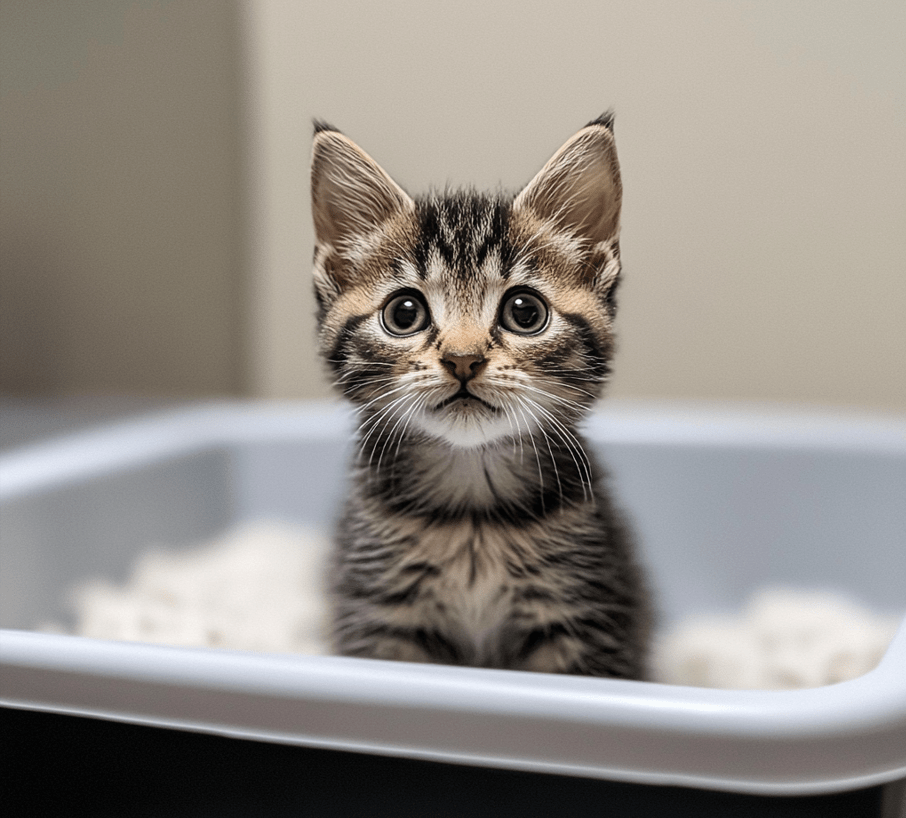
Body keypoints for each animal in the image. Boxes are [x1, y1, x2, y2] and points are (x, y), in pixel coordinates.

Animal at [310, 115, 648, 676]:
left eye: (525, 312)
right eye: (404, 313)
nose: (463, 359)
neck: (472, 509)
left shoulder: (582, 617)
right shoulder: (381, 617)